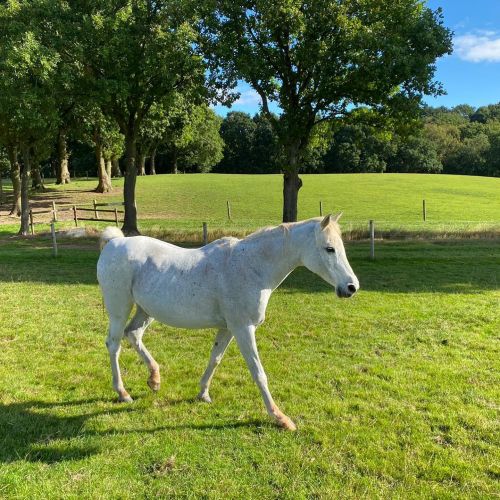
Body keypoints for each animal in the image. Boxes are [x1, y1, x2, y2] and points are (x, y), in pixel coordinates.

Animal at [97, 213, 359, 431]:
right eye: (329, 249)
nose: (351, 287)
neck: (251, 266)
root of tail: (113, 243)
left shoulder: (227, 328)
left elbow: (215, 359)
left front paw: (203, 394)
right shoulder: (243, 328)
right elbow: (258, 372)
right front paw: (280, 418)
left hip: (145, 310)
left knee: (133, 334)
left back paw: (154, 379)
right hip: (119, 308)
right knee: (114, 344)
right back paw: (123, 393)